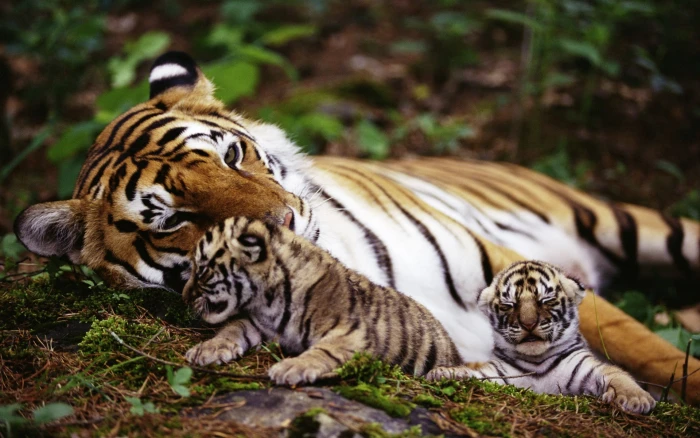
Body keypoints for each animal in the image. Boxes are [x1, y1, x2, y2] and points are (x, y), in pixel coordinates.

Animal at [182, 216, 463, 384]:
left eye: (202, 269)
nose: (184, 297)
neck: (267, 299)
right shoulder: (258, 323)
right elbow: (232, 328)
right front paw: (208, 349)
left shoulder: (352, 333)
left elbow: (322, 351)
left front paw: (289, 368)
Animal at [427, 261, 656, 414]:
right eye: (509, 305)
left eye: (546, 300)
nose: (528, 324)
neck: (536, 363)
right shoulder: (499, 375)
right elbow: (475, 373)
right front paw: (445, 372)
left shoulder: (588, 368)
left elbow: (616, 373)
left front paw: (636, 399)